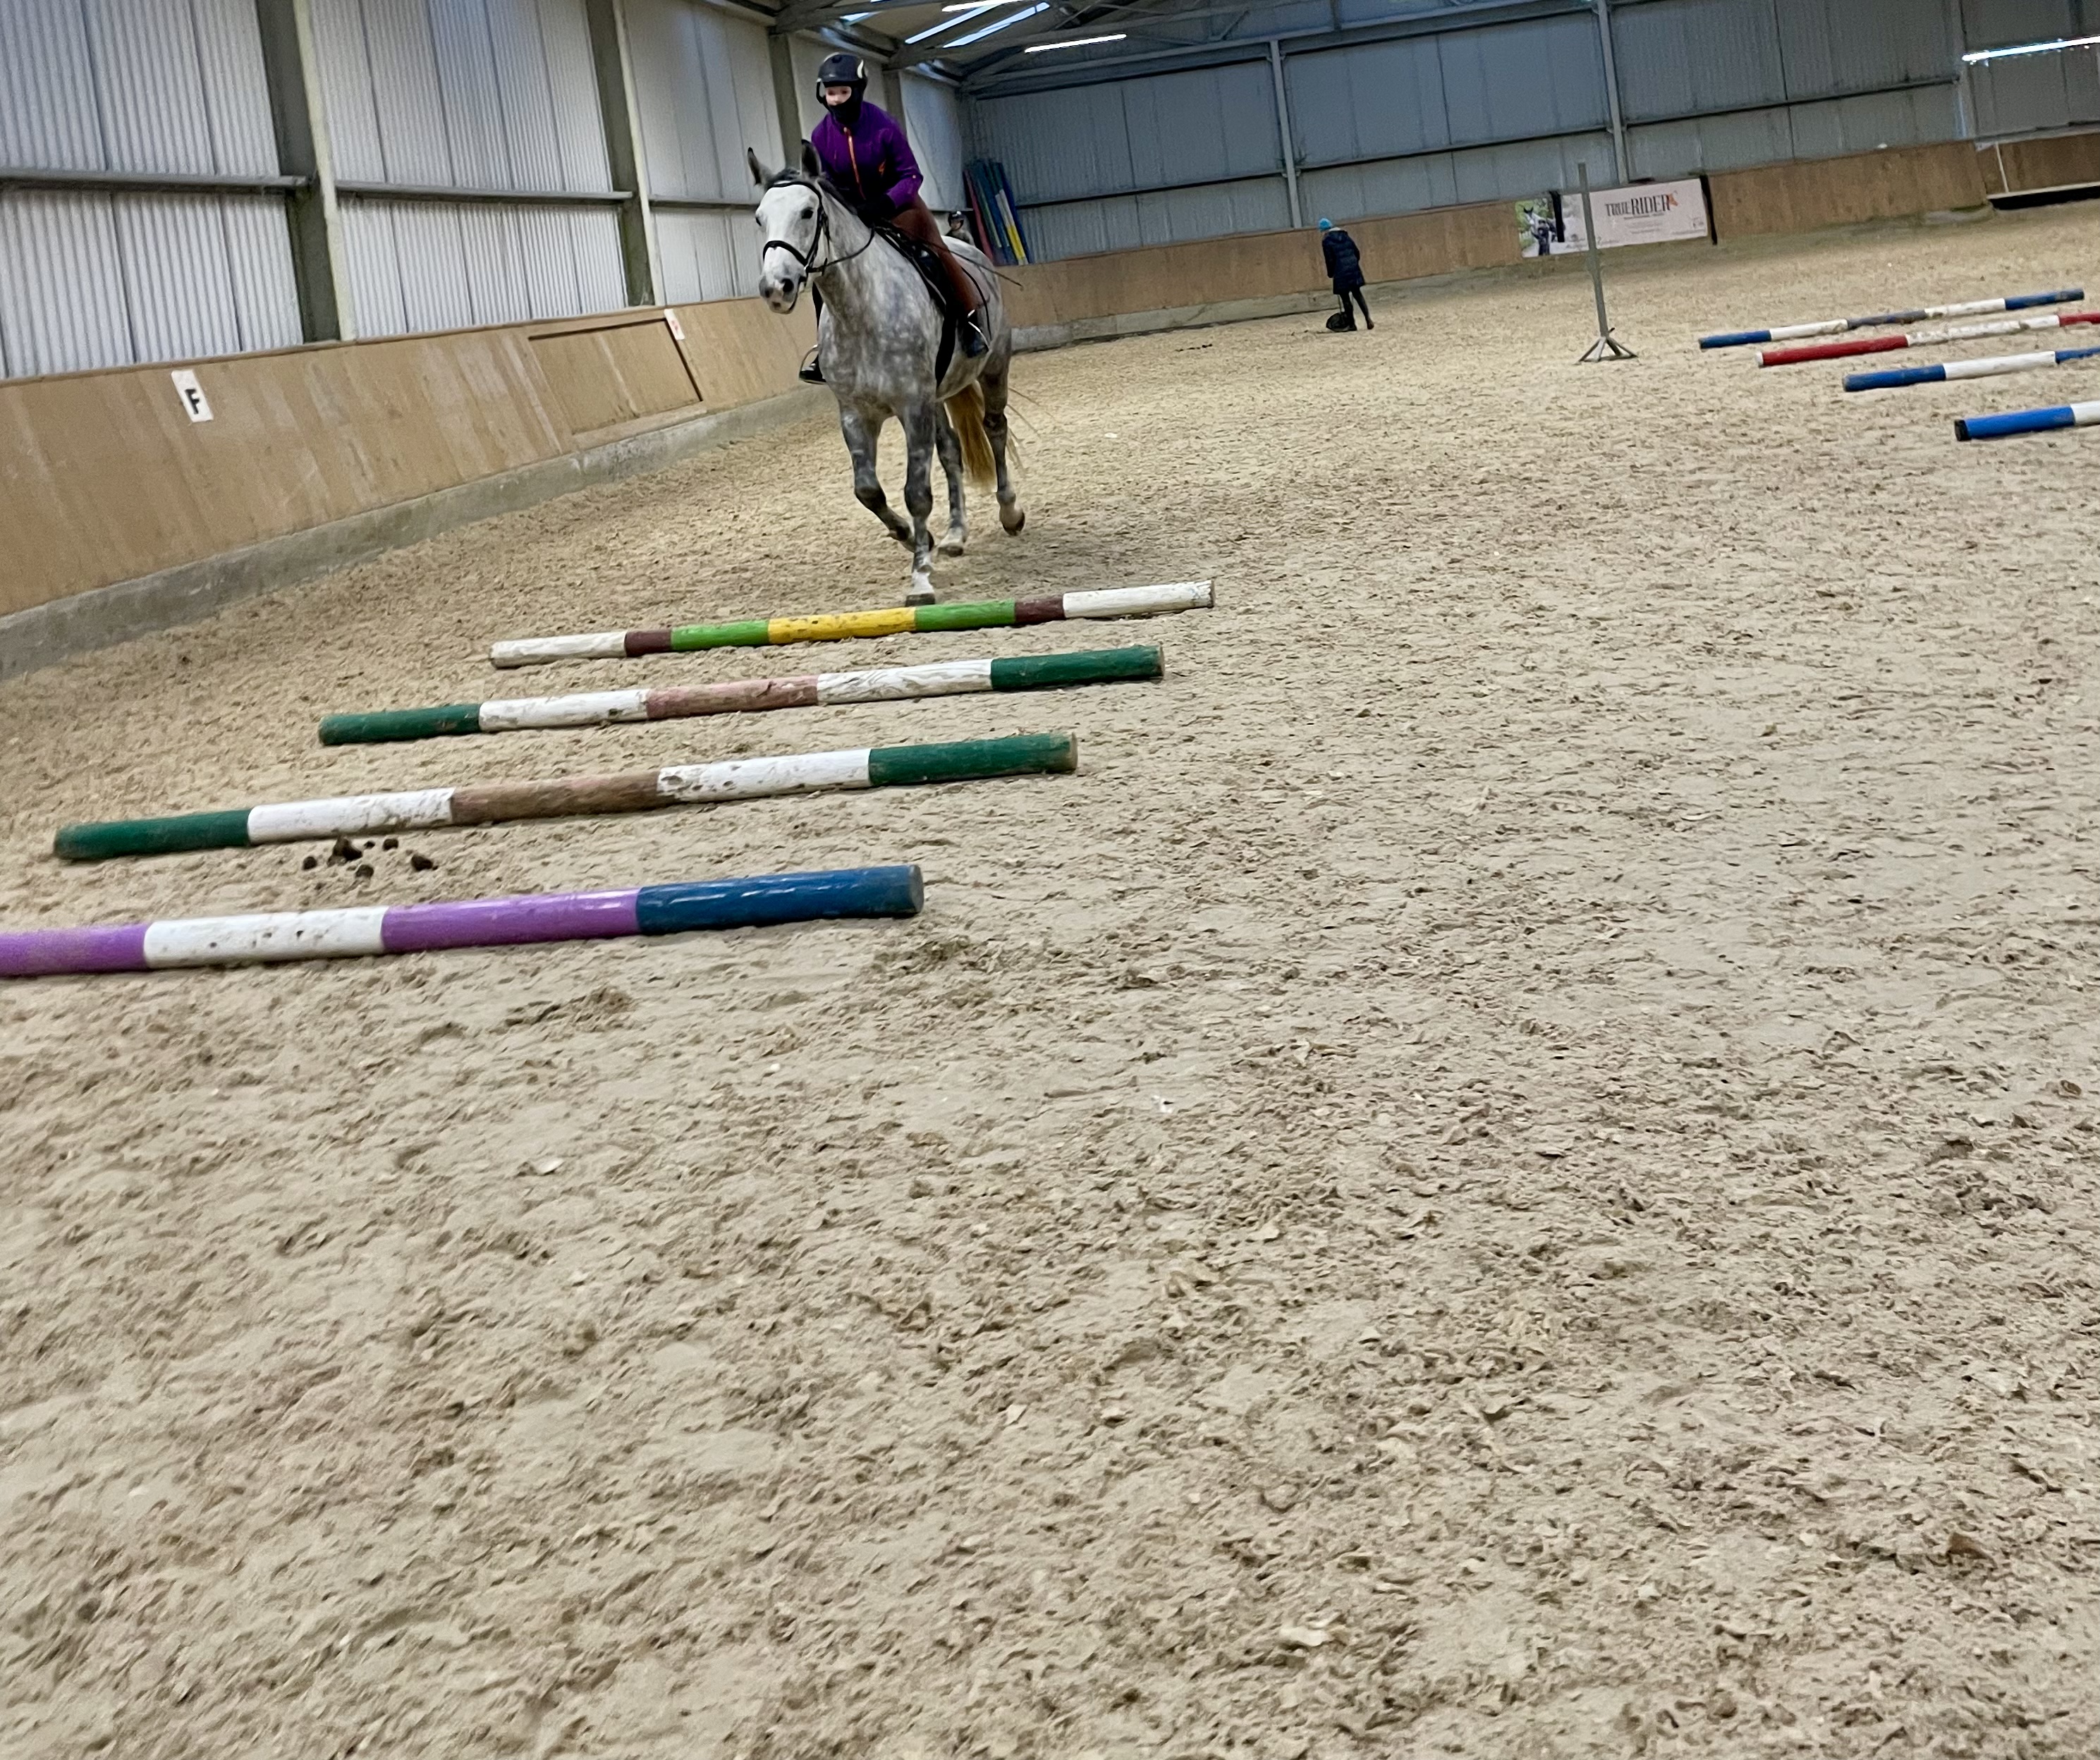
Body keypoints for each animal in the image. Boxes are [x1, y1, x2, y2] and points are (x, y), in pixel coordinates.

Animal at [748, 146, 1023, 605]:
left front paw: (921, 579)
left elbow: (917, 493)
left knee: (994, 429)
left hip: (992, 368)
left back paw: (1010, 511)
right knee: (951, 450)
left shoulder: (912, 407)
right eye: (759, 218)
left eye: (808, 212)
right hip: (936, 398)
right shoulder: (857, 414)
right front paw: (915, 538)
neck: (860, 309)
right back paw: (955, 533)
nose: (776, 288)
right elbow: (868, 490)